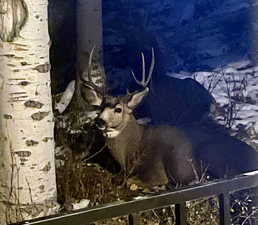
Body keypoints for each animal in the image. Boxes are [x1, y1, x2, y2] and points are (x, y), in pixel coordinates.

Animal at [89, 50, 258, 187]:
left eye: (118, 109)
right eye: (100, 107)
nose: (99, 121)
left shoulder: (155, 171)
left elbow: (131, 180)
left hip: (209, 153)